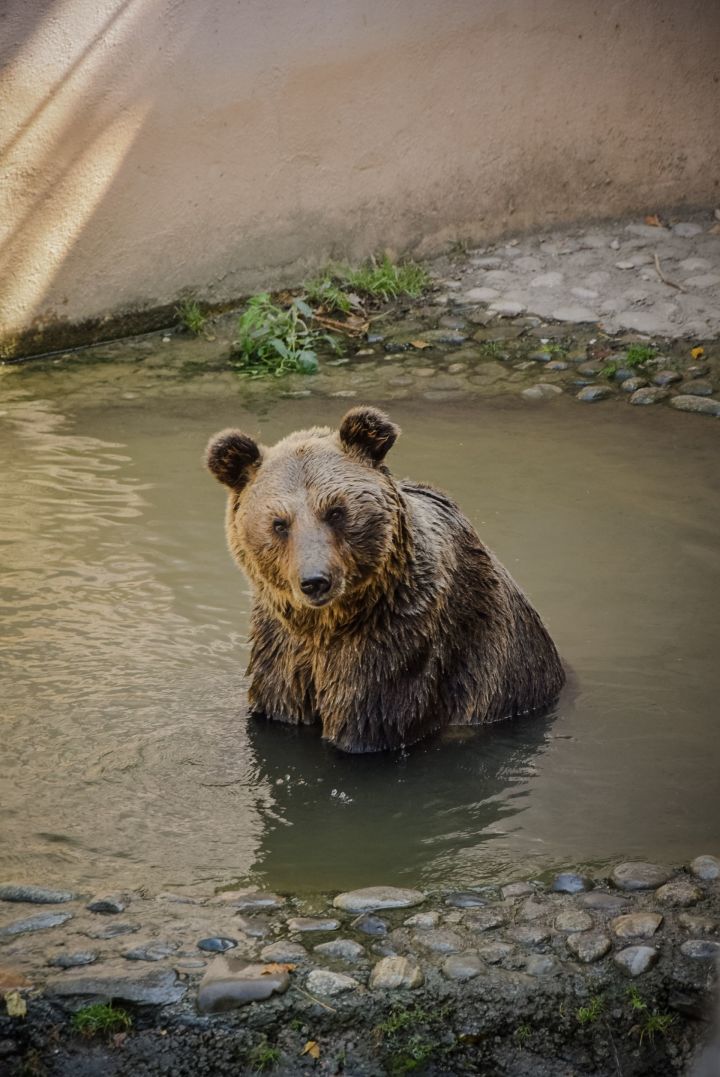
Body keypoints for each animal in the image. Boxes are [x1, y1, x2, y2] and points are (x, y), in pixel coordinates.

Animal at [204, 407, 563, 753]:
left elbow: (369, 721)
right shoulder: (280, 648)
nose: (315, 581)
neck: (326, 625)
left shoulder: (401, 645)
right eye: (279, 523)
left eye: (336, 511)